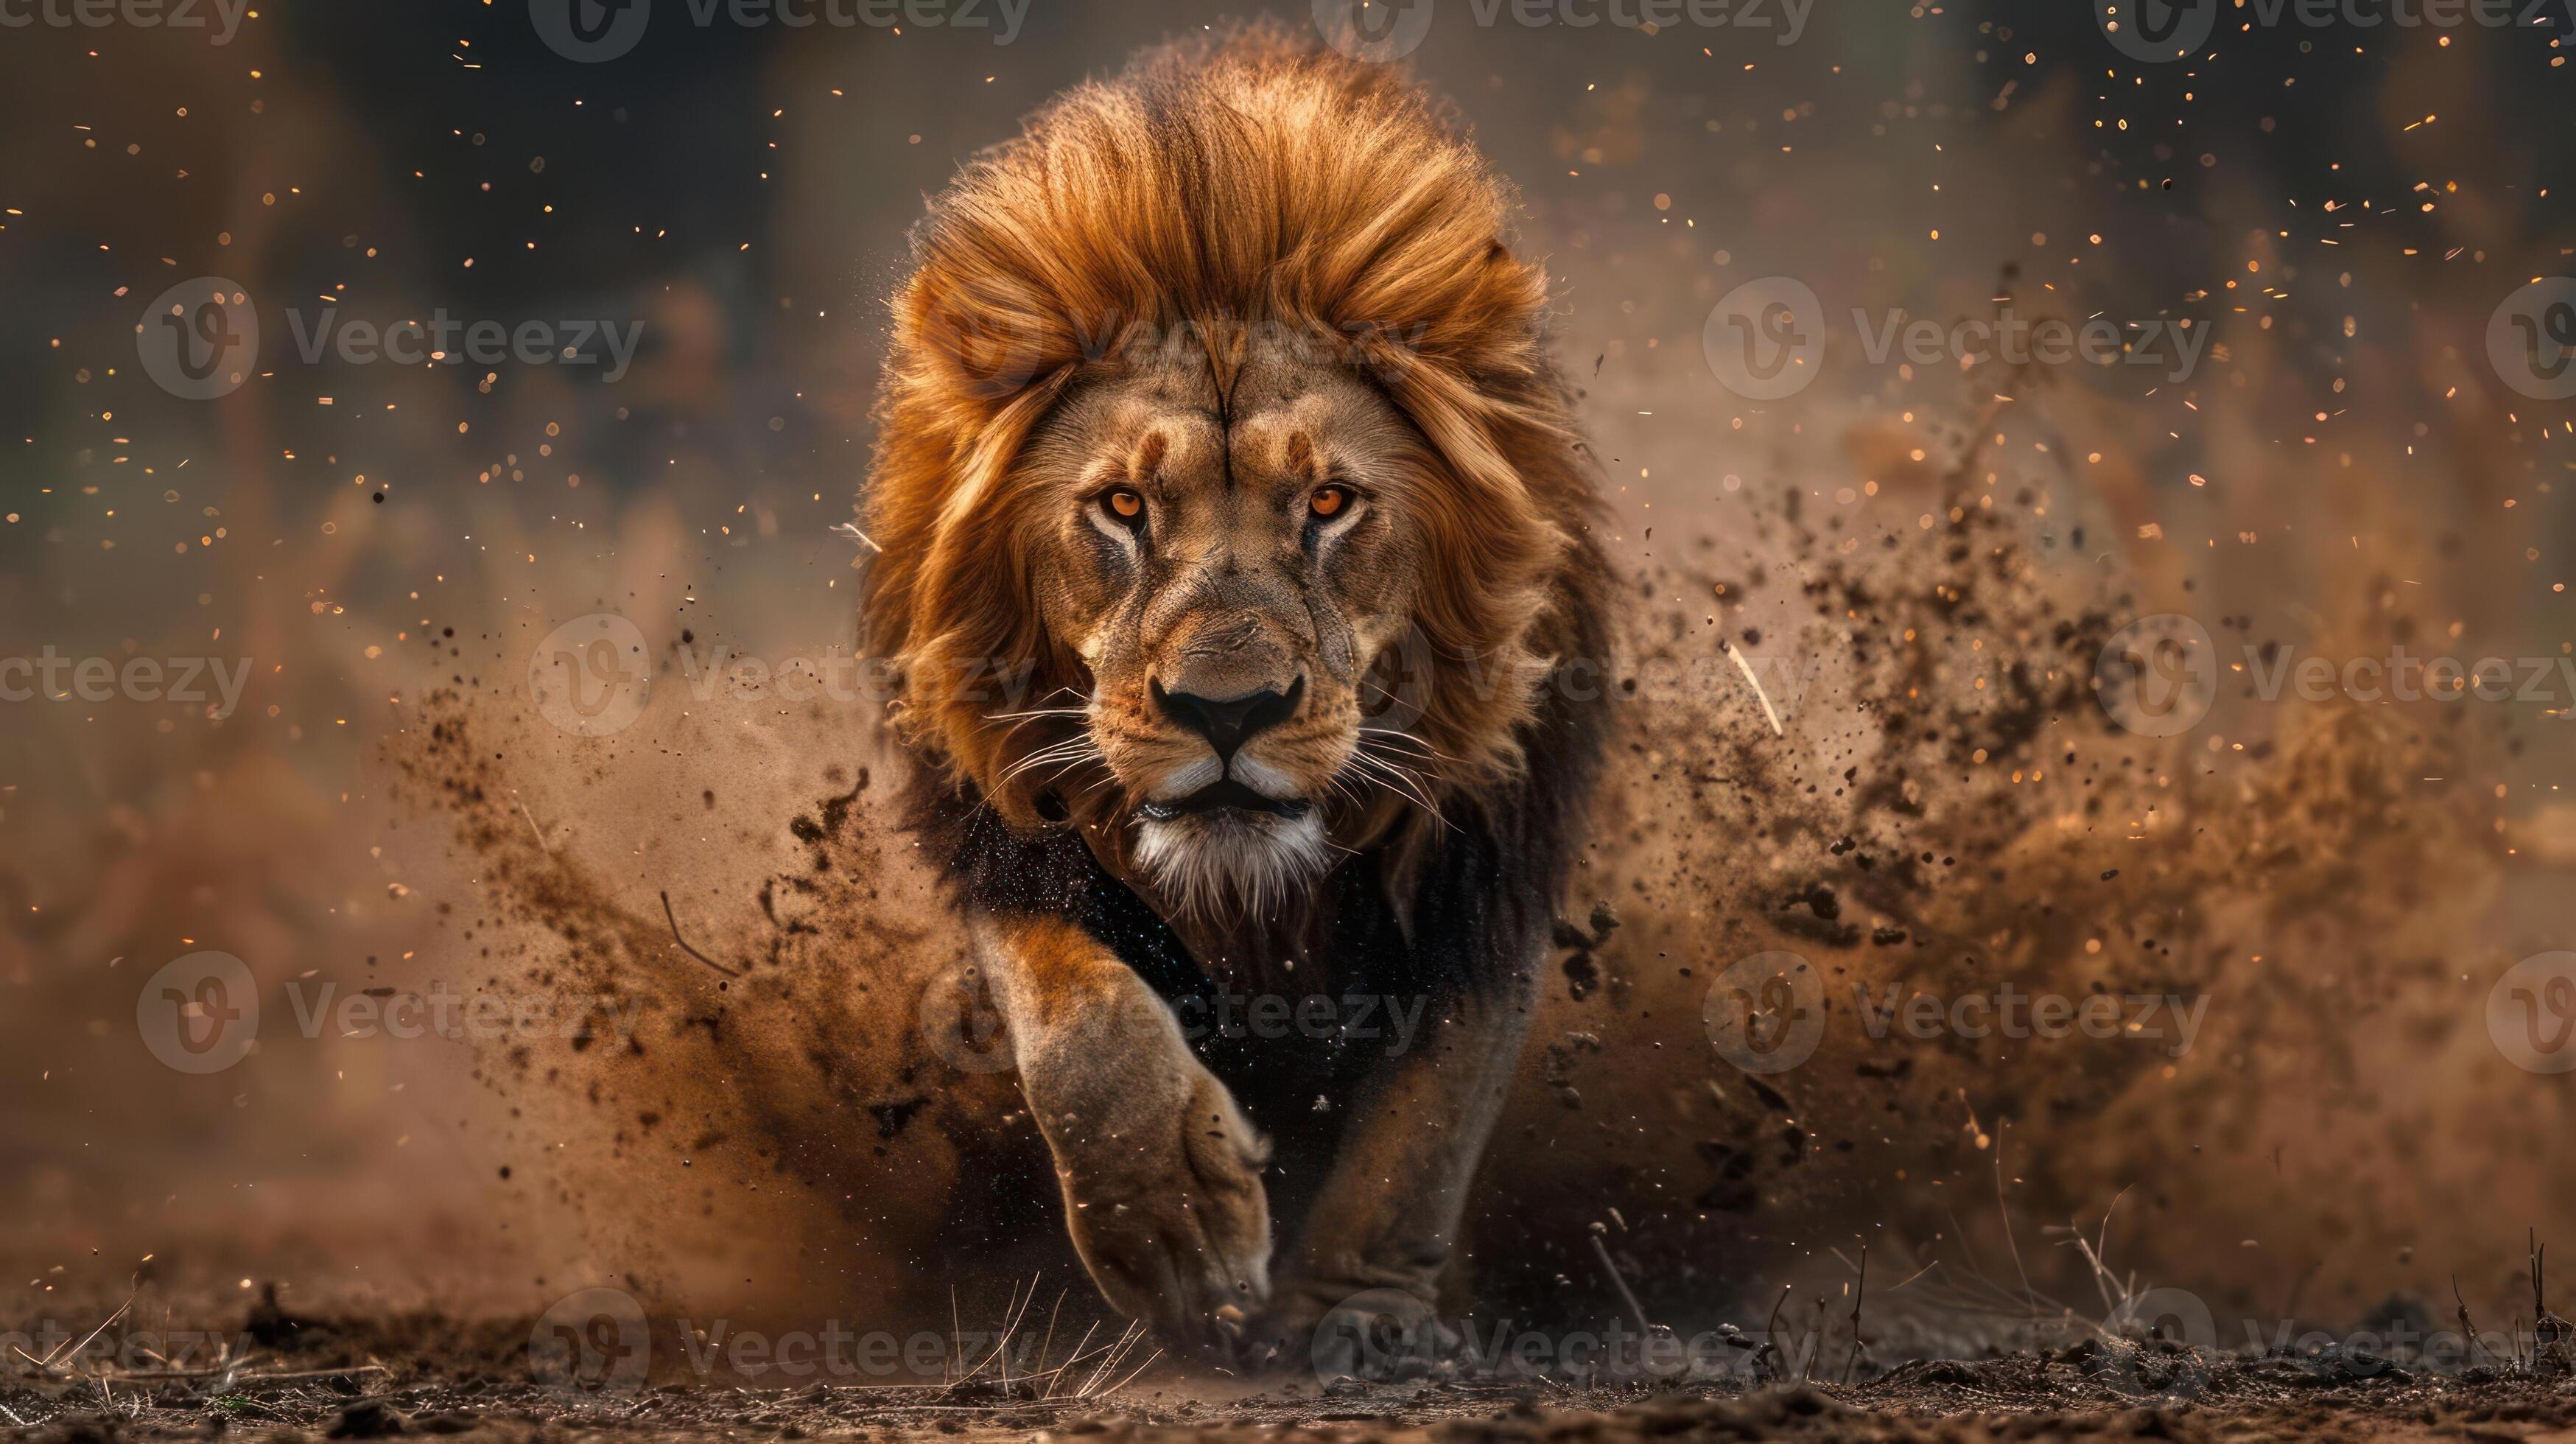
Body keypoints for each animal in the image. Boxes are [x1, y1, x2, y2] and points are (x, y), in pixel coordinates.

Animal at [857, 26, 1612, 1363]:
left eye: (1329, 503)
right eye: (1121, 506)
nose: (1227, 711)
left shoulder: (1486, 858)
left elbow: (1430, 1115)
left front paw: (1356, 1316)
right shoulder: (1004, 829)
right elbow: (1078, 1023)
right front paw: (1172, 1226)